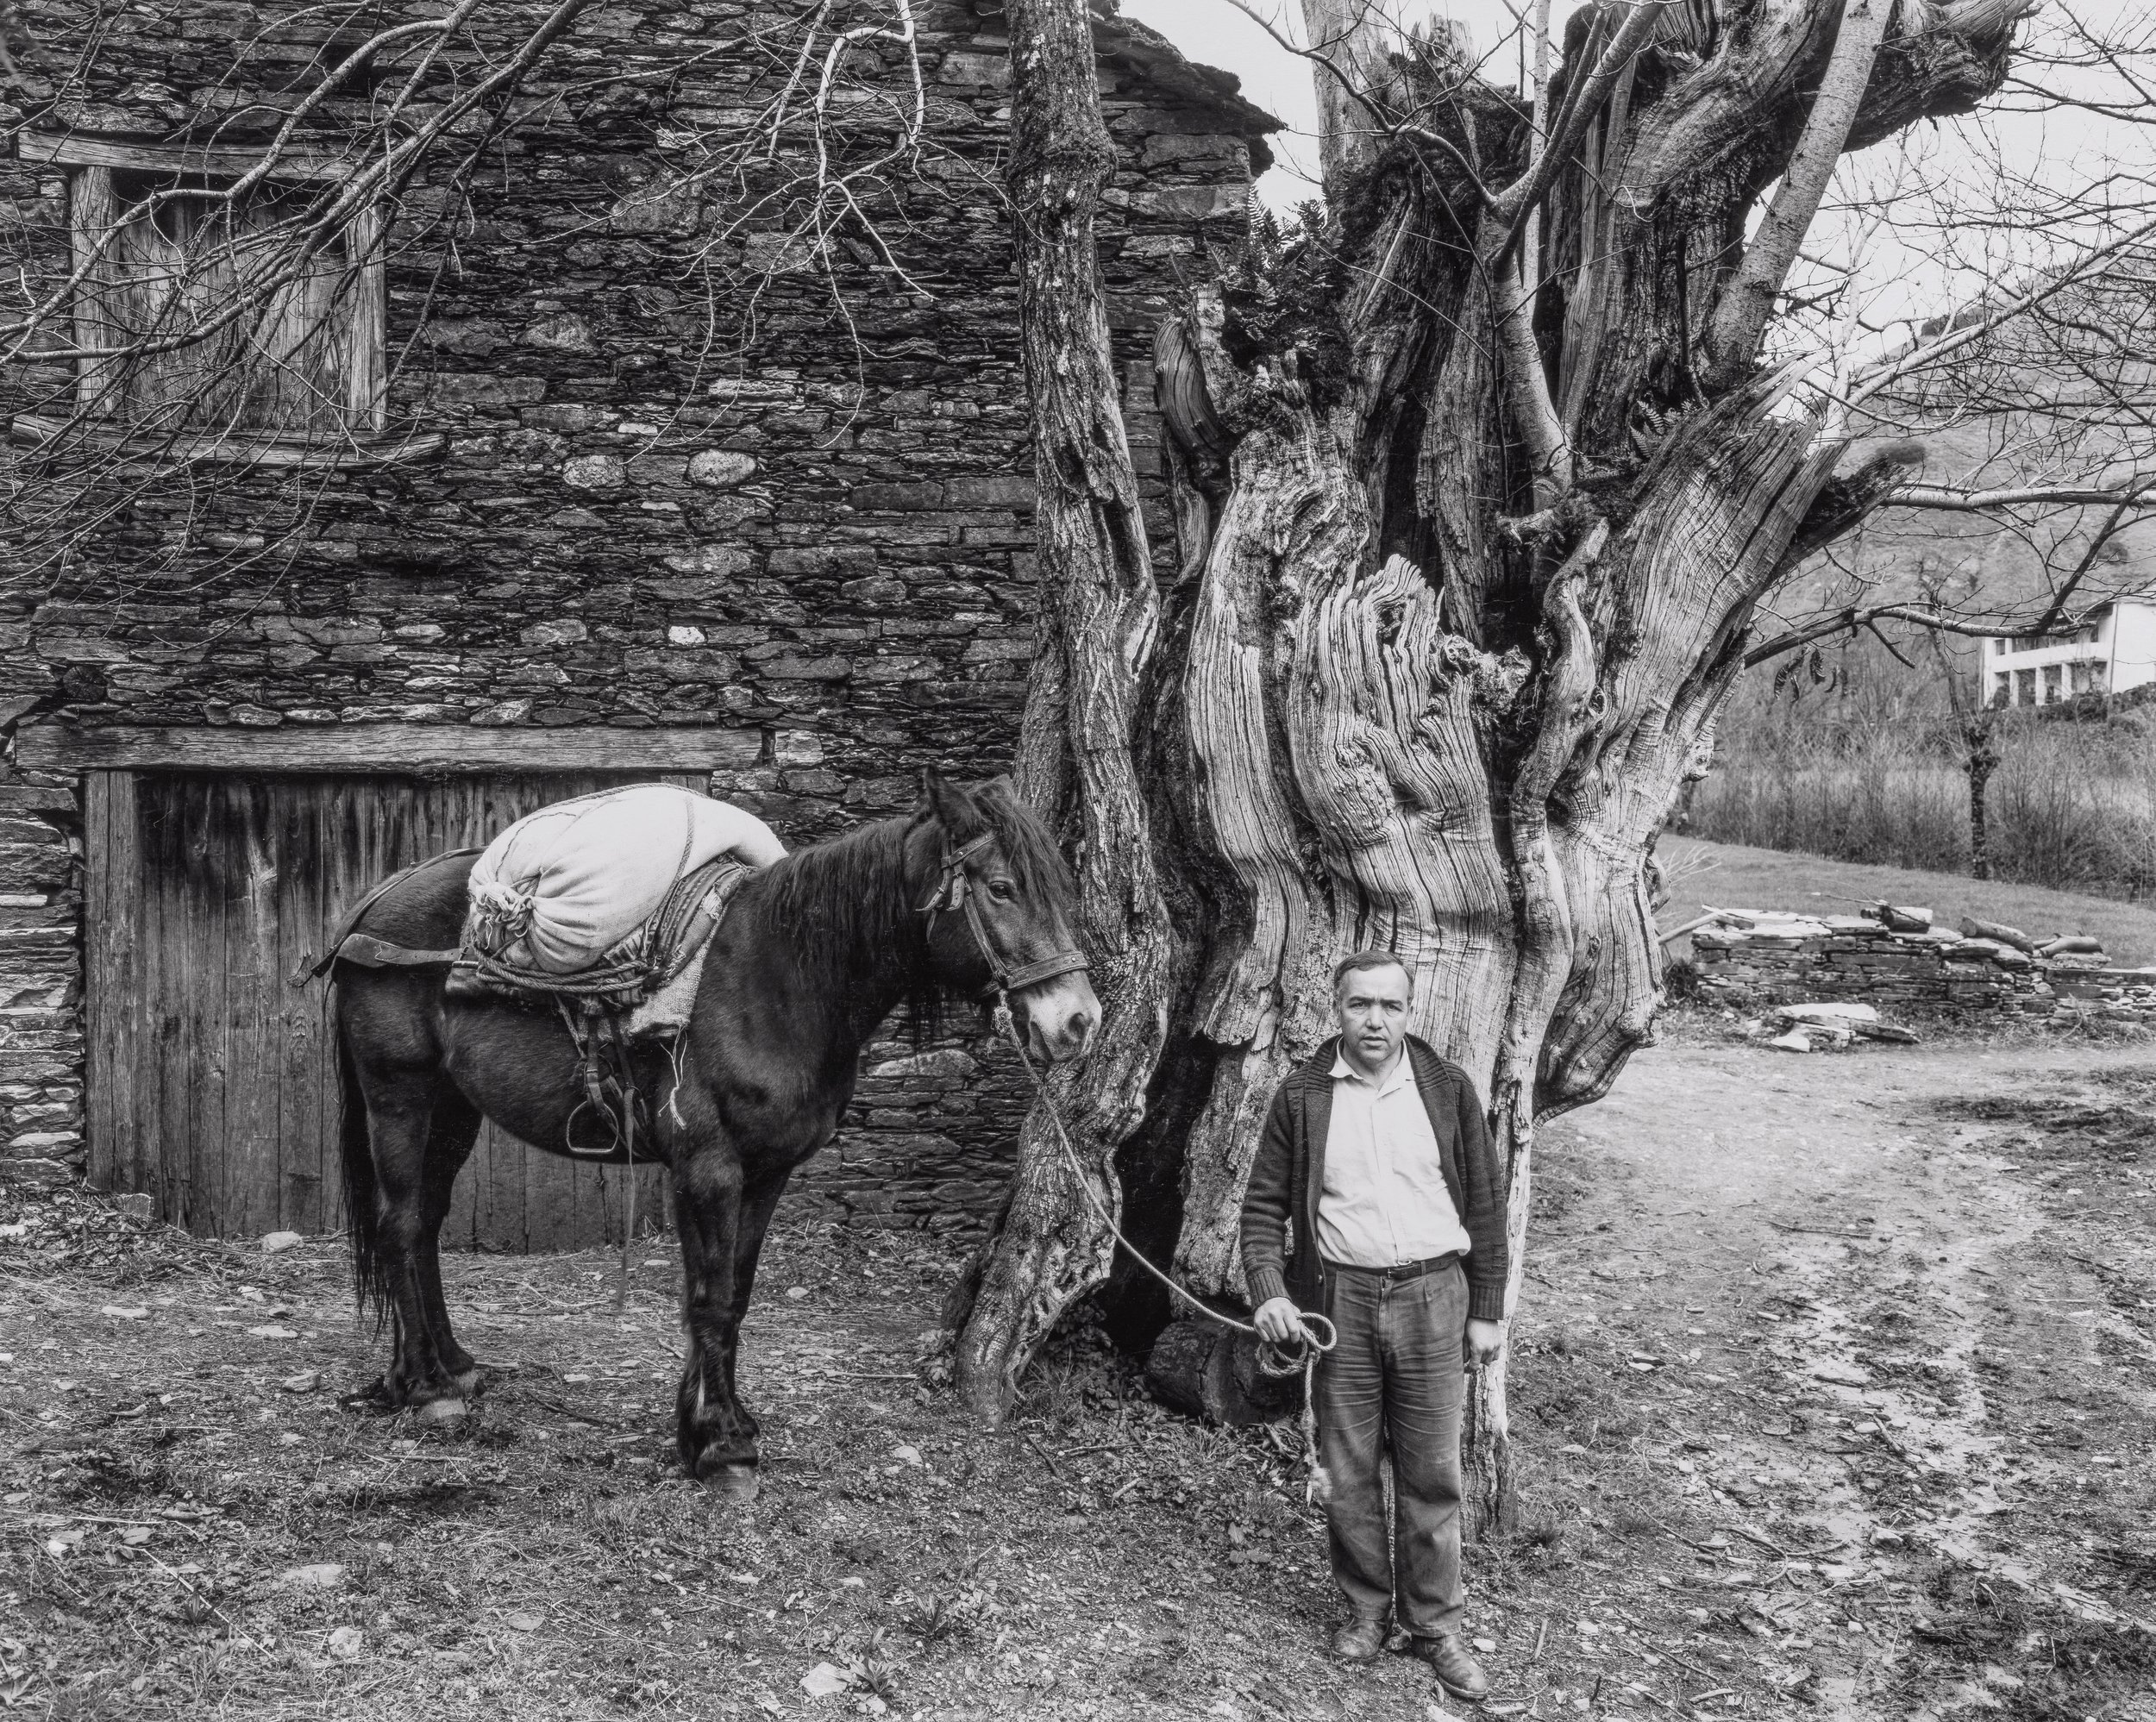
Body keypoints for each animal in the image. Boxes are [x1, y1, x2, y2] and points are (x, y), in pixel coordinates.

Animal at [328, 775, 1104, 1491]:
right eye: (1001, 888)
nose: (1078, 1020)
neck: (778, 979)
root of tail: (372, 905)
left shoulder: (766, 1173)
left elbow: (735, 1292)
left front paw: (709, 1425)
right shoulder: (709, 1168)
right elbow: (710, 1297)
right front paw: (724, 1446)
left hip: (454, 1107)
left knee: (426, 1222)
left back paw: (453, 1367)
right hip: (399, 1095)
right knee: (399, 1223)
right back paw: (426, 1387)